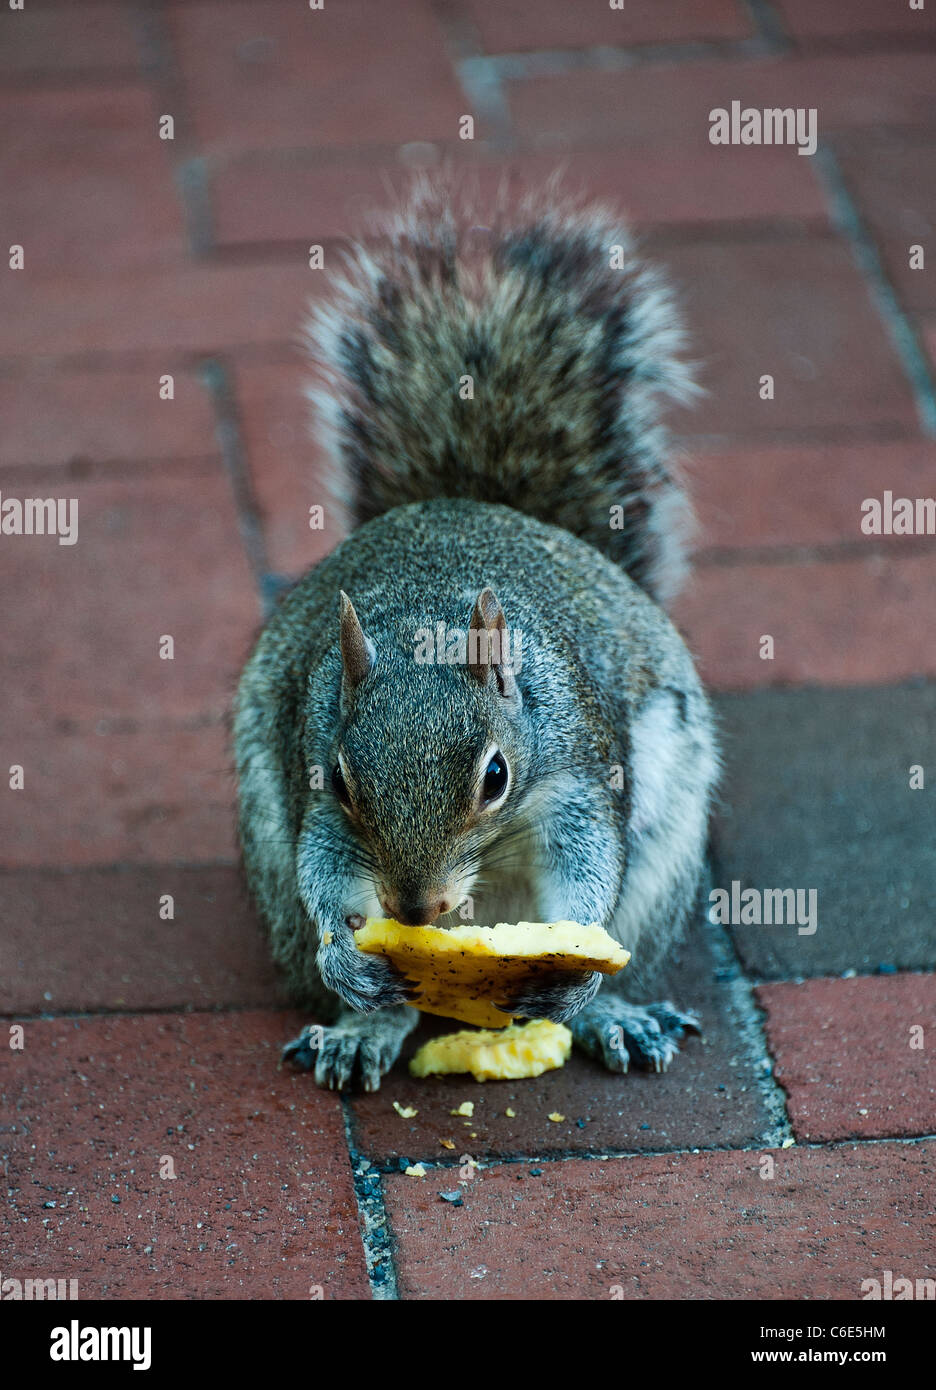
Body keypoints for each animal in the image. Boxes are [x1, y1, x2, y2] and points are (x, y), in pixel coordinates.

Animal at [233, 184, 717, 1089]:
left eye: (497, 777)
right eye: (344, 779)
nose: (415, 908)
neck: (428, 615)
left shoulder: (578, 770)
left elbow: (588, 862)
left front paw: (577, 987)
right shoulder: (313, 772)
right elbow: (326, 865)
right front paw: (348, 960)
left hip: (666, 862)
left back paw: (612, 1013)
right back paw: (364, 1029)